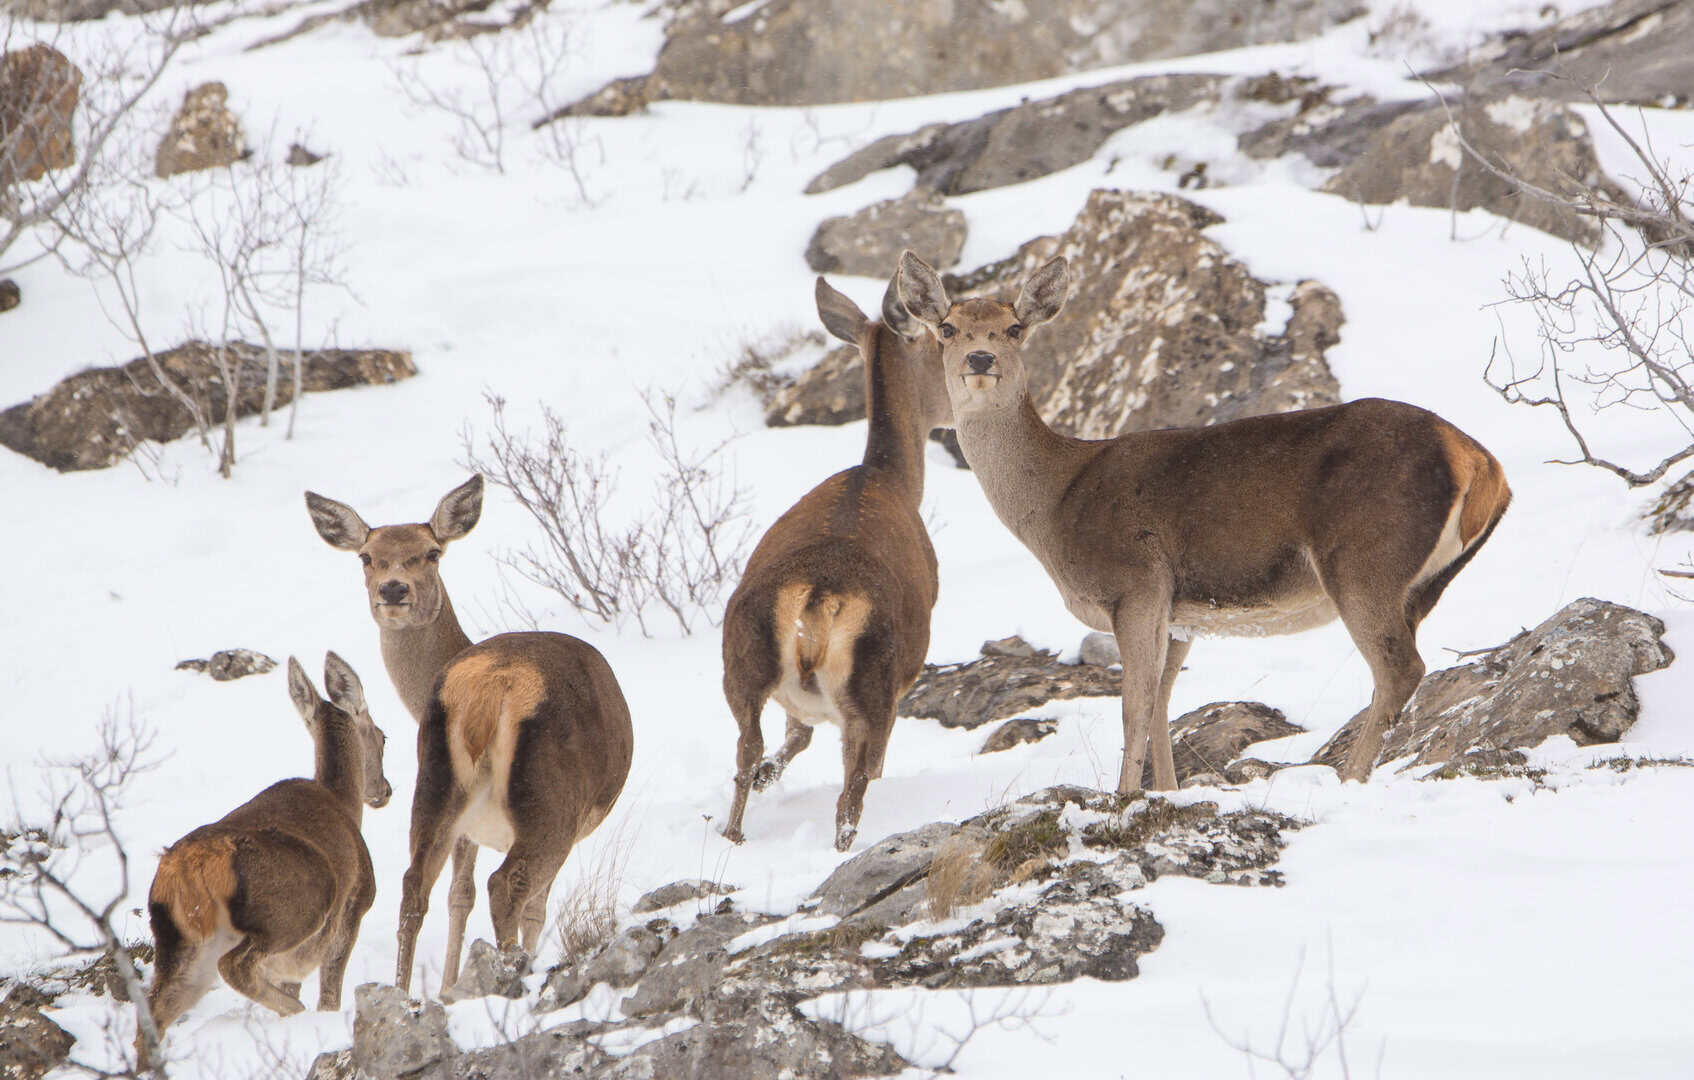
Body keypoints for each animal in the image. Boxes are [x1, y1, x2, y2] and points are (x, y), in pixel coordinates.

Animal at [139, 653, 389, 1067]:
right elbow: (330, 994)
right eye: (383, 737)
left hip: (178, 940)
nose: (384, 790)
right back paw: (294, 1016)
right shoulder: (354, 907)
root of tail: (192, 866)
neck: (345, 805)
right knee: (235, 966)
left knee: (153, 1013)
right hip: (296, 910)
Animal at [304, 476, 634, 997]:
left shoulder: (465, 826)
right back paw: (512, 973)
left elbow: (458, 894)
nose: (393, 588)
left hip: (434, 784)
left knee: (414, 884)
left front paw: (444, 989)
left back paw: (403, 993)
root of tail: (492, 688)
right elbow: (523, 906)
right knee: (509, 886)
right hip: (553, 802)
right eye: (367, 556)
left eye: (431, 552)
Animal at [720, 274, 953, 852]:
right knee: (853, 791)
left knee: (747, 748)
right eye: (941, 342)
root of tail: (817, 601)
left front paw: (770, 778)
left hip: (741, 661)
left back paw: (734, 829)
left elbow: (795, 738)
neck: (891, 479)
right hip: (874, 689)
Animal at [895, 249, 1511, 793]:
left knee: (1399, 667)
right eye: (947, 328)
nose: (980, 359)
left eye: (1015, 327)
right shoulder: (1179, 612)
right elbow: (1163, 702)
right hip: (1422, 583)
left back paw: (1350, 781)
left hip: (1364, 556)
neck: (1054, 503)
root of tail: (1482, 463)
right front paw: (1165, 791)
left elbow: (1135, 704)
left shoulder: (1136, 581)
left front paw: (1122, 797)